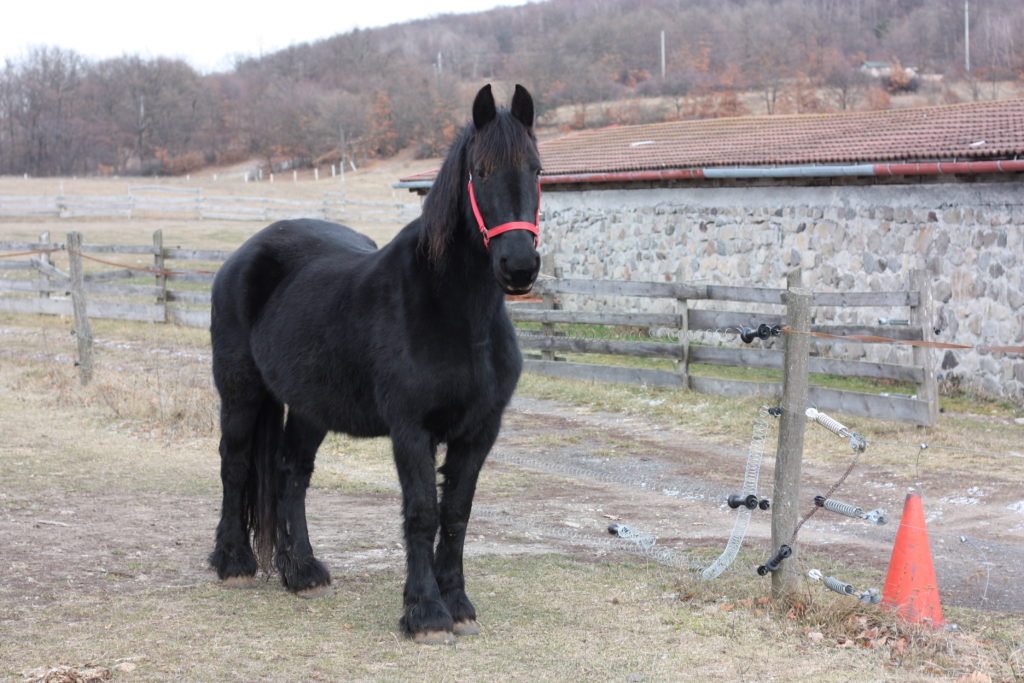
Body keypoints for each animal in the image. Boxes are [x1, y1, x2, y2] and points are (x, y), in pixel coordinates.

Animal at [208, 82, 544, 643]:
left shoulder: (480, 430)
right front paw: (425, 613)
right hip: (240, 393)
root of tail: (243, 255)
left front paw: (458, 605)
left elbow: (457, 514)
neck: (456, 314)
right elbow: (422, 513)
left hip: (309, 407)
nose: (519, 266)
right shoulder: (411, 429)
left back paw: (302, 572)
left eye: (538, 170)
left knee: (291, 474)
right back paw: (232, 562)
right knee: (234, 466)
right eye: (480, 172)